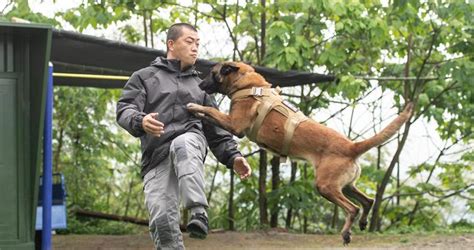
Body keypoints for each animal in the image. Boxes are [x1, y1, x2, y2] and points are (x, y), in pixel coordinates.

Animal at [185, 61, 412, 243]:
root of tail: (352, 146)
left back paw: (347, 233)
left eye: (212, 73)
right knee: (368, 201)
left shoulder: (235, 124)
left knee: (352, 208)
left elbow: (211, 111)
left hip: (325, 186)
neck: (248, 85)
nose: (199, 84)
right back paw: (363, 223)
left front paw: (195, 107)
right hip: (345, 186)